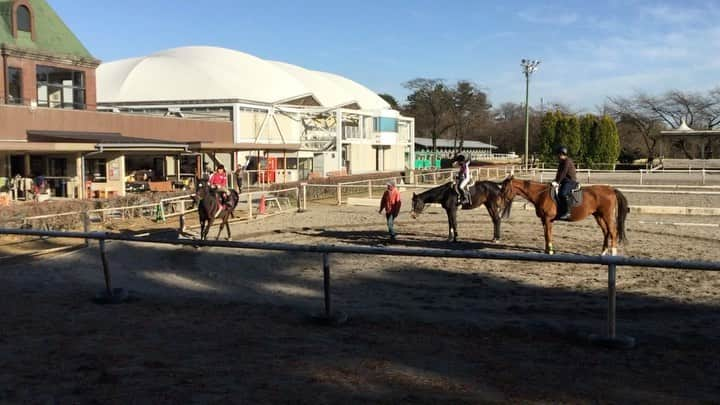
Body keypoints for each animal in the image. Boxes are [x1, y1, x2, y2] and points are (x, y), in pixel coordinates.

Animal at [498, 174, 628, 256]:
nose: (499, 203)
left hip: (607, 216)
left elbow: (548, 234)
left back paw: (613, 253)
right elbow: (546, 234)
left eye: (505, 189)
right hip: (598, 216)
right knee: (606, 232)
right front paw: (547, 250)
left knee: (612, 231)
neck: (541, 194)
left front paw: (550, 251)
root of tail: (611, 189)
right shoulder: (545, 220)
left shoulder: (547, 219)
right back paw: (603, 252)